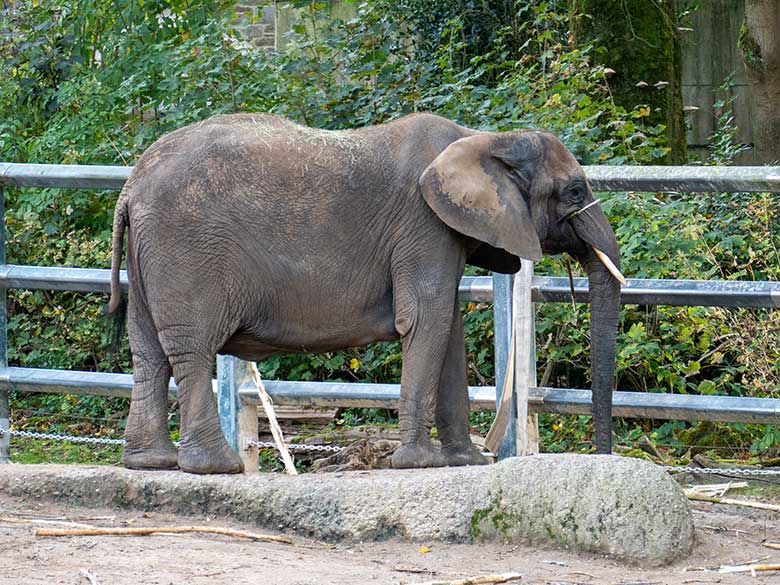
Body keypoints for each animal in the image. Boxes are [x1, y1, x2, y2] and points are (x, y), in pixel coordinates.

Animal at [106, 112, 624, 472]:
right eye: (575, 192)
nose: (605, 457)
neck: (483, 137)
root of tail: (129, 189)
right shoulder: (423, 224)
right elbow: (427, 319)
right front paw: (419, 463)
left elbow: (448, 326)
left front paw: (466, 463)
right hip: (187, 249)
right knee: (191, 350)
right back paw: (218, 467)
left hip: (151, 252)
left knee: (147, 353)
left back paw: (150, 463)